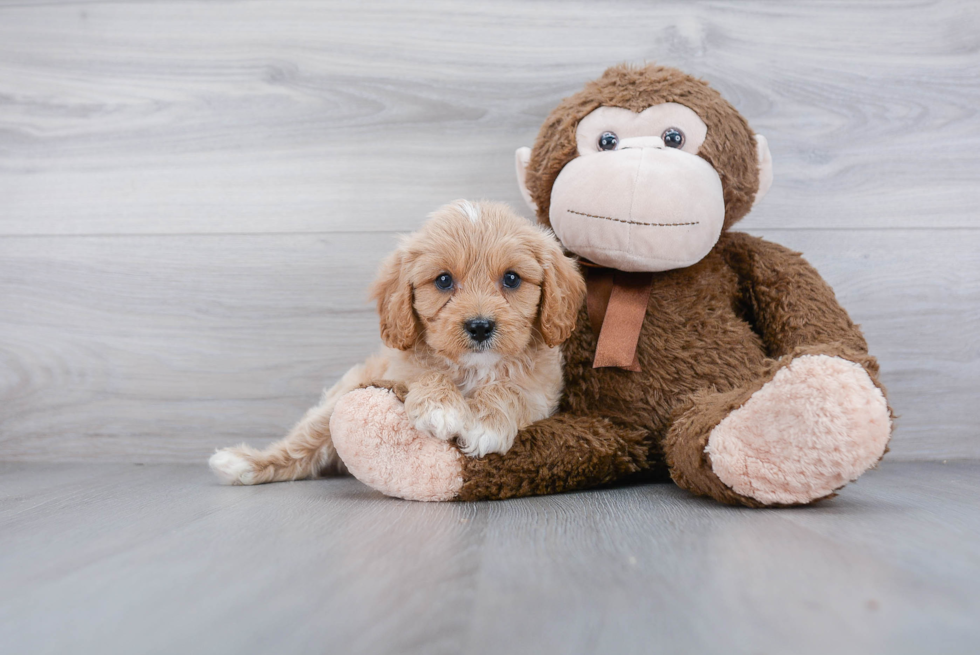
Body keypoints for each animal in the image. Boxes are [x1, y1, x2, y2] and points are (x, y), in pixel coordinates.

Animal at [211, 197, 584, 484]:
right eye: (443, 281)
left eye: (512, 279)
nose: (480, 326)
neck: (473, 369)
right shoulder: (398, 372)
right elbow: (426, 375)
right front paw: (440, 407)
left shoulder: (542, 393)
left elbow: (511, 389)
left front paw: (485, 423)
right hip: (341, 396)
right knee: (304, 443)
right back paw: (244, 464)